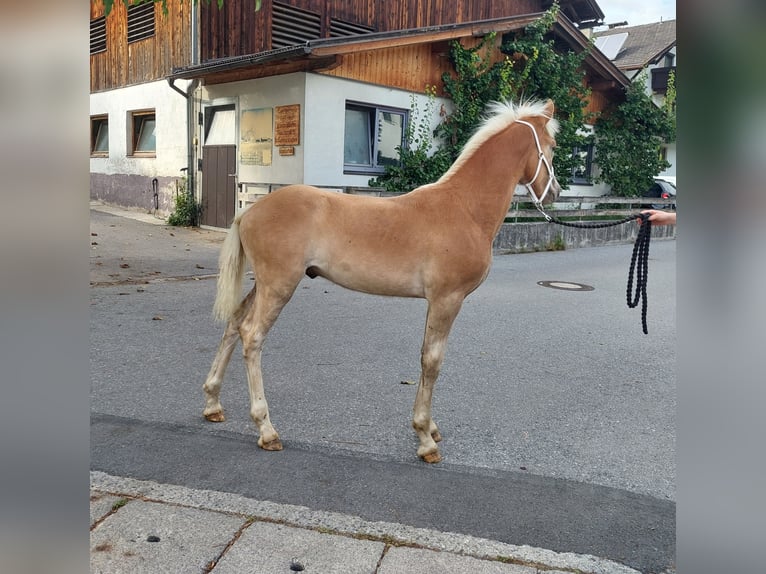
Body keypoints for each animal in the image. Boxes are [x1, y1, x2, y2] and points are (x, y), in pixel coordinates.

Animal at [202, 99, 564, 466]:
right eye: (552, 146)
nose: (555, 193)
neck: (464, 208)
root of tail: (249, 211)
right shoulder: (447, 299)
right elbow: (433, 361)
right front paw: (425, 439)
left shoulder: (436, 302)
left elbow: (425, 357)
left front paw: (429, 428)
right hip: (278, 286)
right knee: (252, 336)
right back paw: (266, 429)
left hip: (264, 285)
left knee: (235, 323)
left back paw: (213, 403)